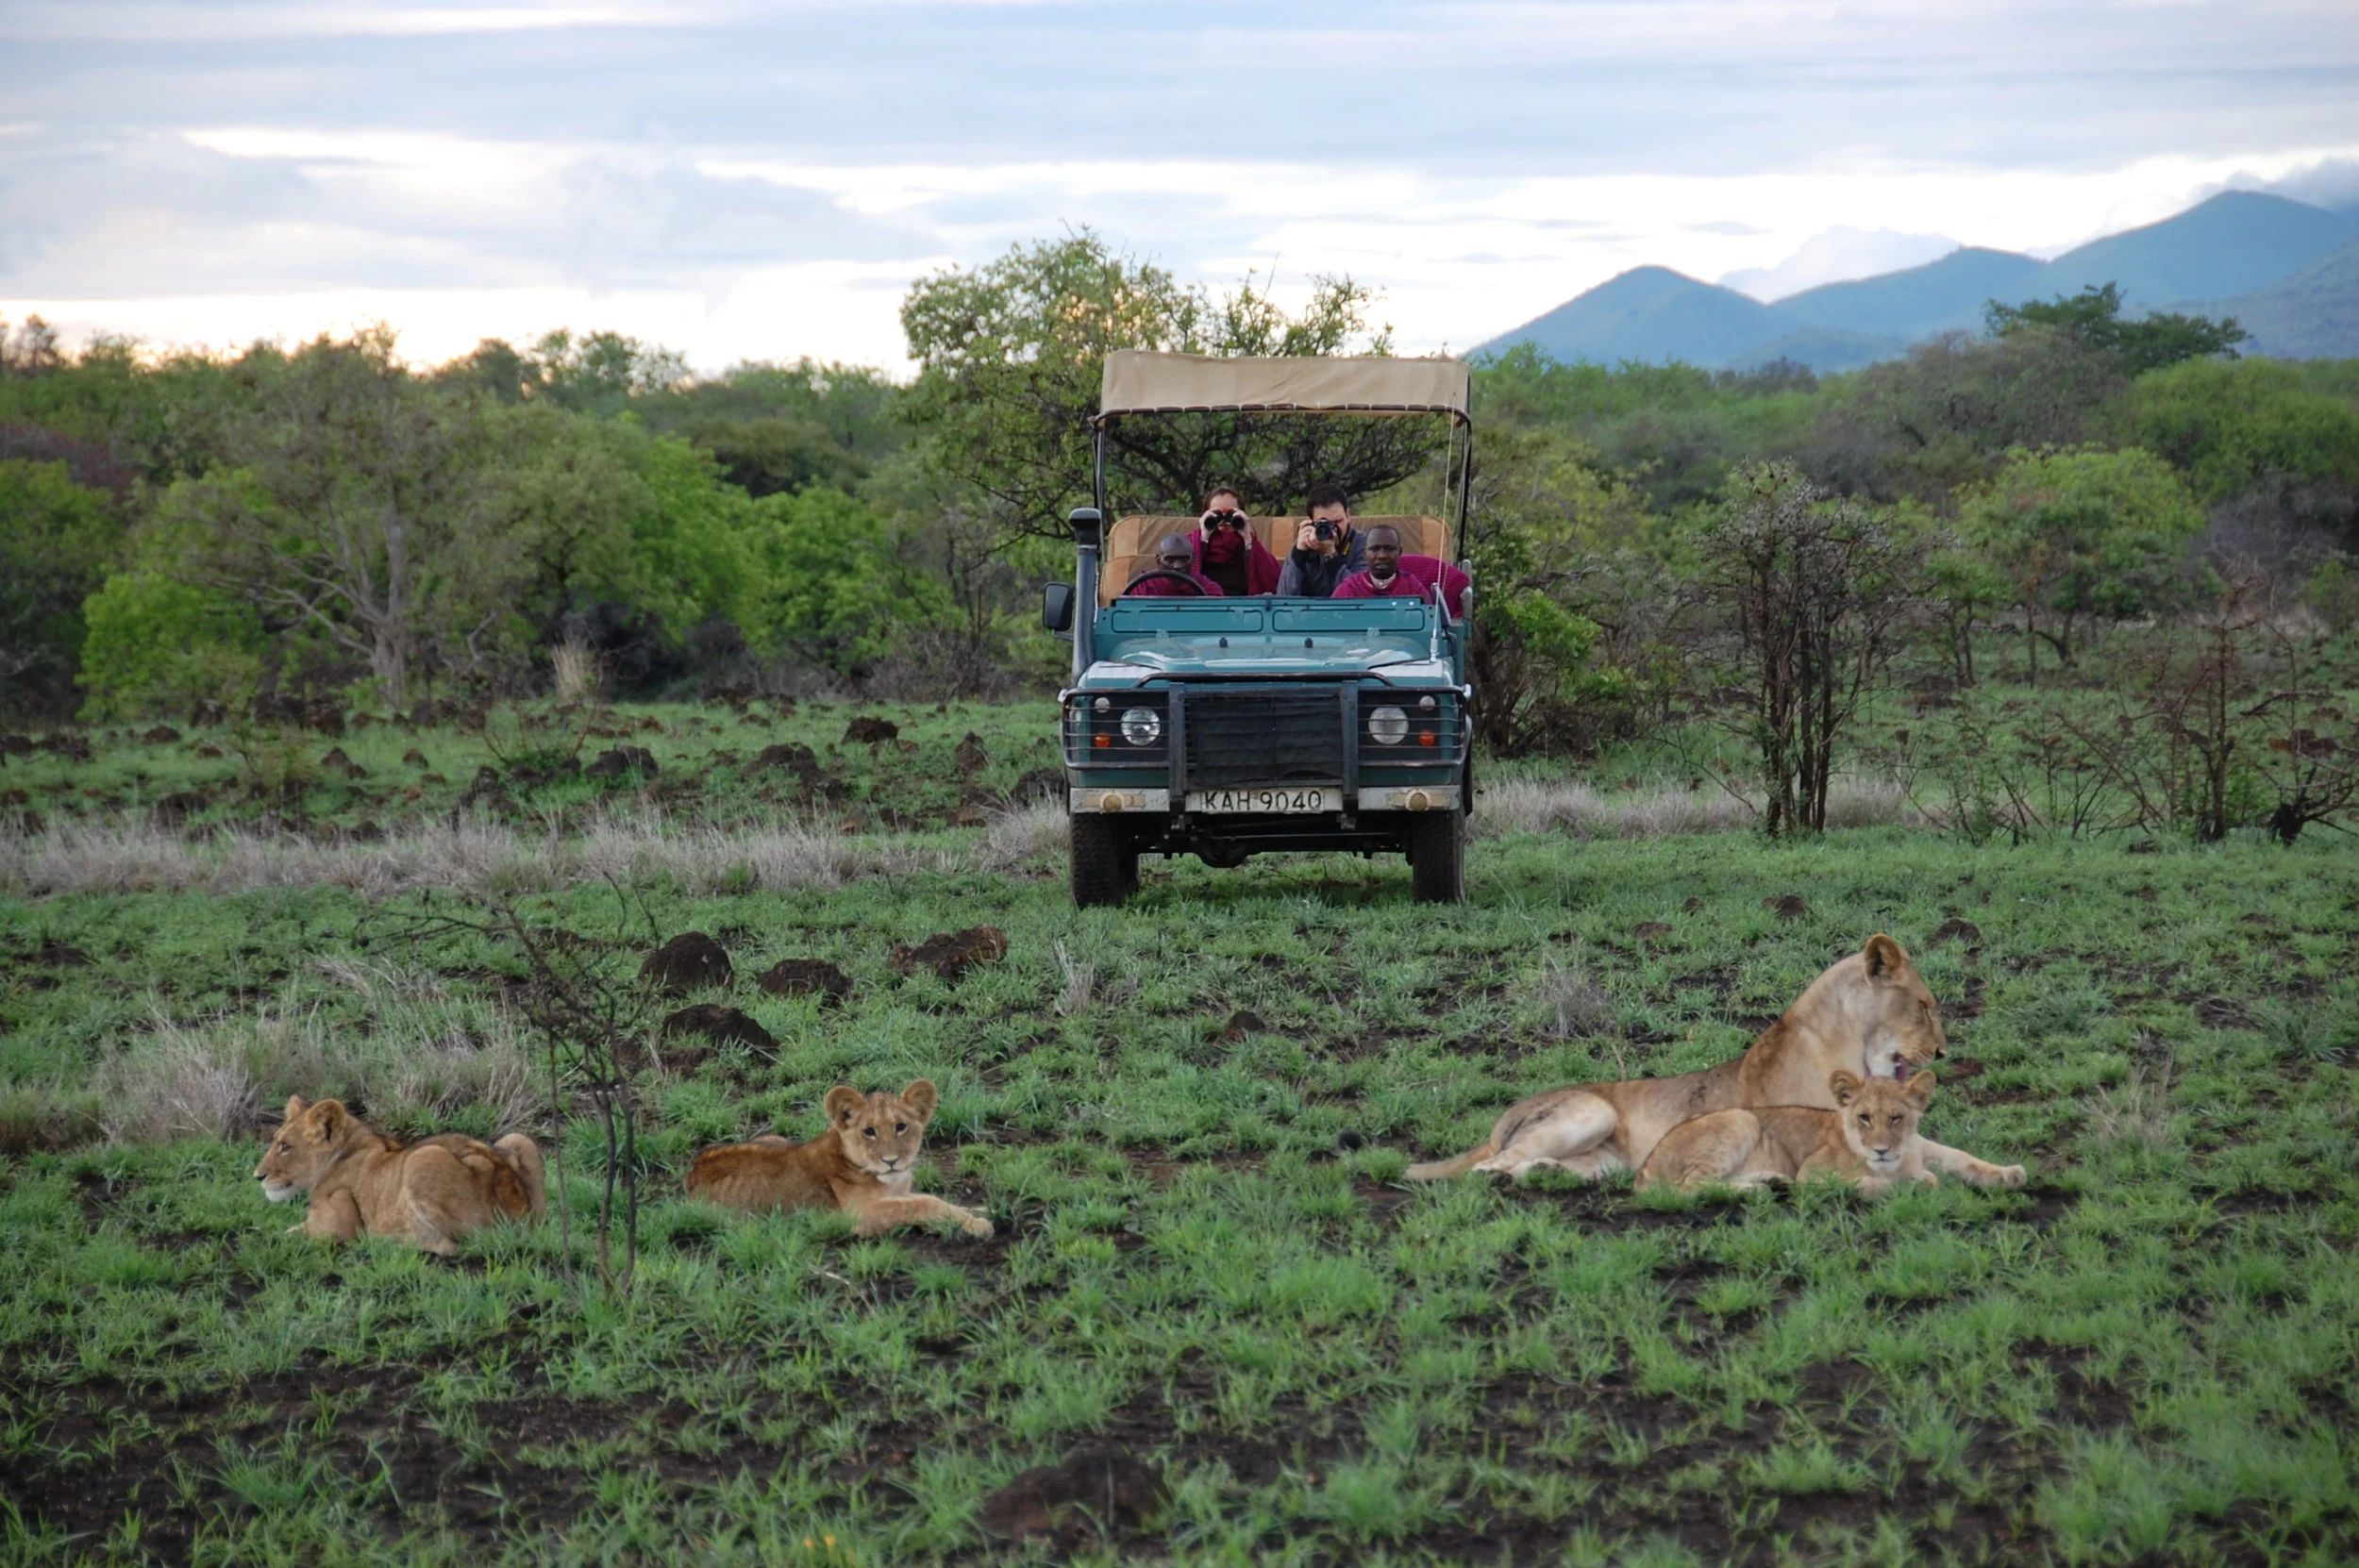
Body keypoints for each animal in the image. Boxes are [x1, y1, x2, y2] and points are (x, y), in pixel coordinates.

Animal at [255, 1095, 546, 1256]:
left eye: (285, 1146)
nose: (258, 1176)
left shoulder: (336, 1227)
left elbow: (281, 1235)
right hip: (519, 1140)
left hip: (423, 1157)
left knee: (454, 1245)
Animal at [683, 1080, 993, 1238]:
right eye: (869, 1131)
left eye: (901, 1127)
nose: (891, 1160)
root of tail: (691, 1172)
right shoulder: (858, 1215)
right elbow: (920, 1203)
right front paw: (978, 1224)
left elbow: (926, 1198)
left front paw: (977, 1211)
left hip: (774, 1137)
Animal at [1638, 1068, 2025, 1193]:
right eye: (1864, 1117)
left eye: (1896, 1118)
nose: (1881, 1149)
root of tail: (1644, 1168)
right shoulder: (1812, 1174)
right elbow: (1873, 1183)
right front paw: (1914, 1183)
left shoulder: (1920, 1147)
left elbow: (1962, 1157)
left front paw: (2009, 1174)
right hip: (1740, 1119)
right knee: (1690, 1186)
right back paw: (1757, 1191)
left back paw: (1770, 1181)